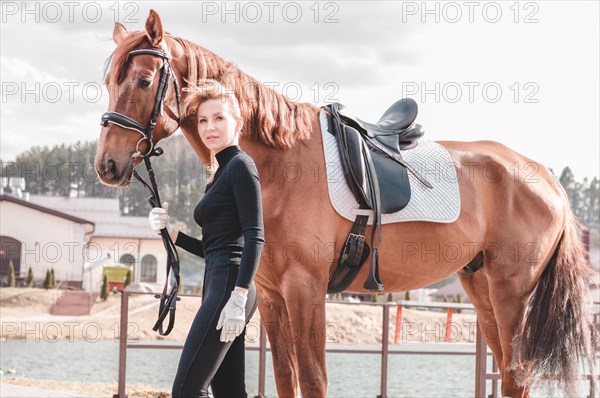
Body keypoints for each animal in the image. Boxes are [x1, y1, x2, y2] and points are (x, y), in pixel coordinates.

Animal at [95, 10, 596, 398]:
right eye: (108, 81)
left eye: (143, 79)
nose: (107, 165)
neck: (278, 163)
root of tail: (545, 177)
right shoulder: (273, 296)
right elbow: (286, 379)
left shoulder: (306, 289)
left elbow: (314, 379)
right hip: (481, 288)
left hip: (513, 292)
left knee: (517, 373)